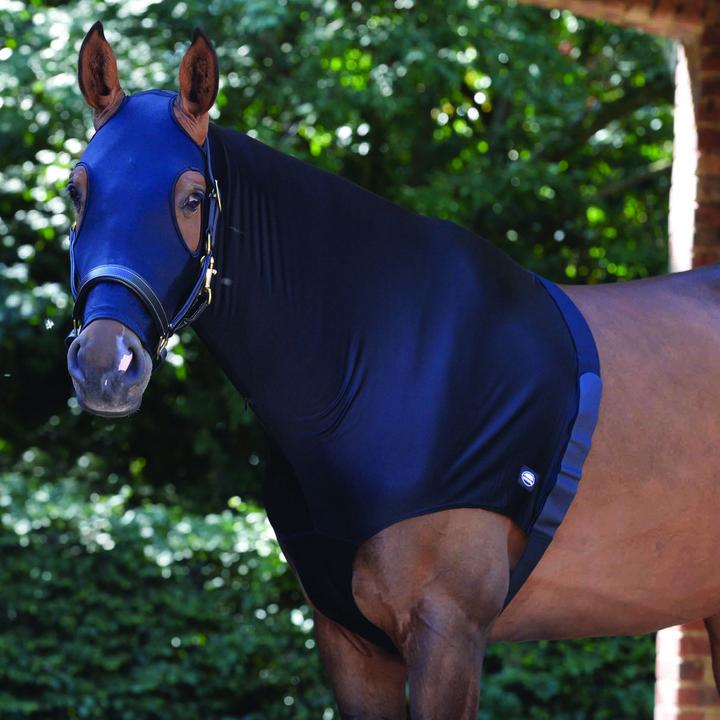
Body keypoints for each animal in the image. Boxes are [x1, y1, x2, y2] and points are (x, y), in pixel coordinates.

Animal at [65, 23, 720, 719]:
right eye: (76, 191)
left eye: (191, 198)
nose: (106, 366)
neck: (379, 364)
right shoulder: (348, 638)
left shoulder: (448, 630)